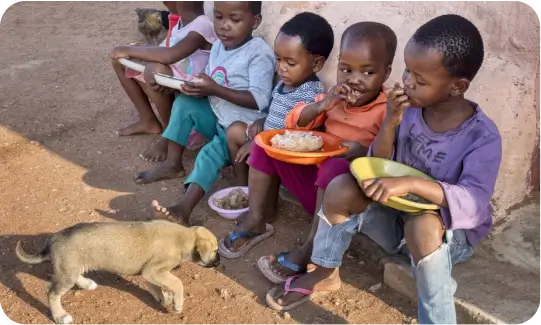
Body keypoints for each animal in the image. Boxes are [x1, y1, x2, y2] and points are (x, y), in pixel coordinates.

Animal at [16, 219, 219, 322]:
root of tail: (53, 238)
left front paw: (162, 297)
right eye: (215, 251)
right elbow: (177, 283)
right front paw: (177, 304)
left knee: (75, 278)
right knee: (52, 293)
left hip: (72, 268)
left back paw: (86, 284)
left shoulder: (150, 272)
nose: (219, 262)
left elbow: (154, 286)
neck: (186, 237)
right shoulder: (154, 270)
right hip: (66, 274)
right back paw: (60, 316)